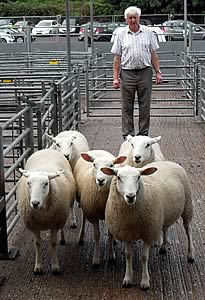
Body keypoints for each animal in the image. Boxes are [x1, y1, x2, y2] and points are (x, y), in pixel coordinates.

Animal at [101, 162, 195, 290]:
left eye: (139, 177)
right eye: (119, 177)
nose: (130, 196)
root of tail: (169, 162)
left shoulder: (148, 233)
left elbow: (144, 257)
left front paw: (145, 281)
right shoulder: (126, 233)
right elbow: (128, 255)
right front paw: (128, 278)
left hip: (187, 205)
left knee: (188, 229)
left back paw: (190, 254)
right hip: (163, 215)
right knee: (165, 228)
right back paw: (164, 247)